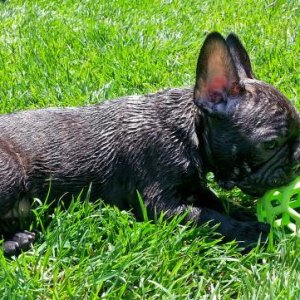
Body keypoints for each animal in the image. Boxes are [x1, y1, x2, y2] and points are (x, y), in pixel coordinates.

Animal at [0, 31, 300, 254]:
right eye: (270, 144)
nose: (297, 157)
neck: (189, 133)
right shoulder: (162, 204)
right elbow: (209, 218)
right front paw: (250, 231)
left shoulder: (194, 186)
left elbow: (217, 204)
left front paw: (243, 214)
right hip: (11, 173)